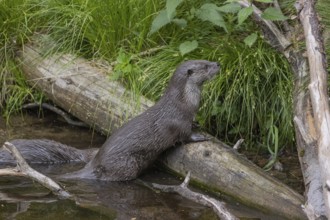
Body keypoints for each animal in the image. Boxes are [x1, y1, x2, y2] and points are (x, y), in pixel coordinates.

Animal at [1, 59, 222, 180]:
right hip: (127, 165)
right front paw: (201, 137)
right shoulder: (178, 121)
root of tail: (94, 163)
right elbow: (184, 136)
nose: (218, 64)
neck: (184, 102)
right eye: (205, 65)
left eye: (207, 60)